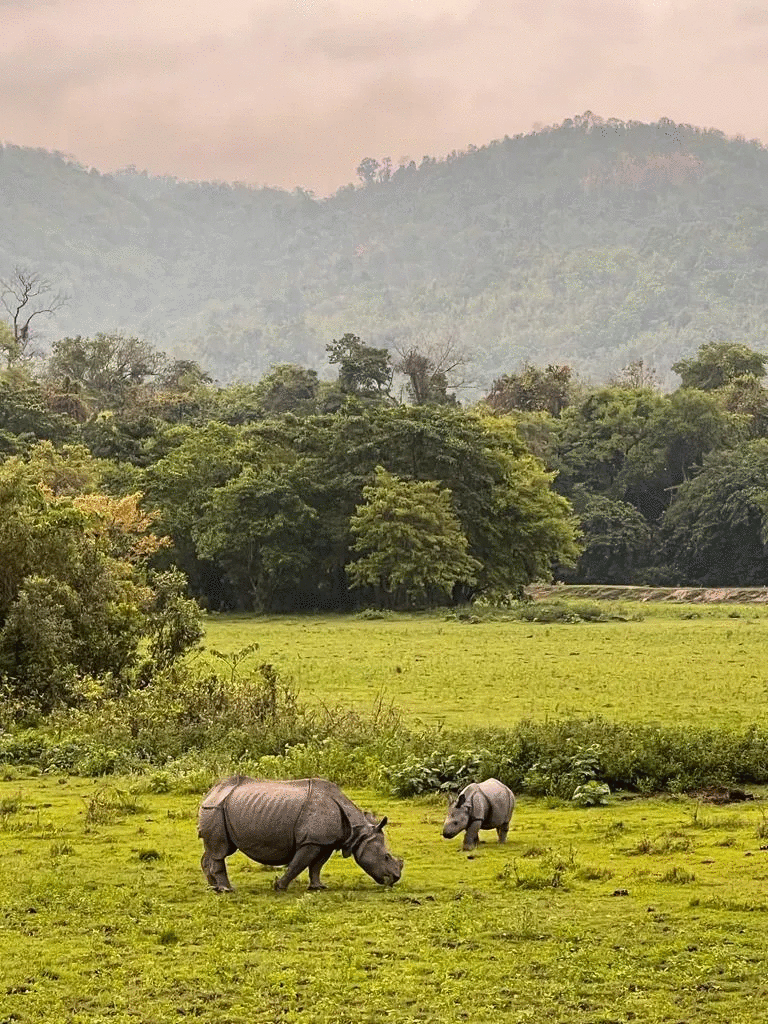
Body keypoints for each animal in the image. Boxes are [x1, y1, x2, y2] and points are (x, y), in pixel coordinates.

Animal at [198, 775, 404, 892]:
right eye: (386, 857)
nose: (395, 879)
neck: (357, 831)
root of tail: (211, 792)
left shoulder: (325, 842)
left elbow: (316, 866)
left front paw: (318, 887)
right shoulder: (311, 841)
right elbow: (298, 864)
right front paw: (279, 887)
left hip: (221, 808)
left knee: (214, 850)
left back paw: (214, 887)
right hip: (215, 808)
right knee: (220, 850)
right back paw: (227, 890)